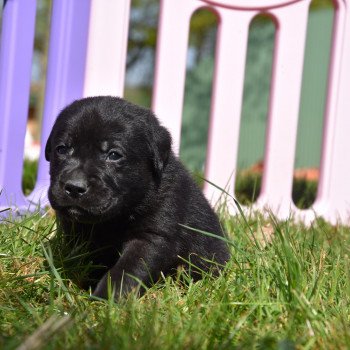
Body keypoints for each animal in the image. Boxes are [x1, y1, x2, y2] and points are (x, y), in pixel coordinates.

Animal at [45, 97, 231, 300]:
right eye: (61, 149)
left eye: (114, 155)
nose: (74, 187)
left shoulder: (152, 236)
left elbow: (127, 269)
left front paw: (106, 299)